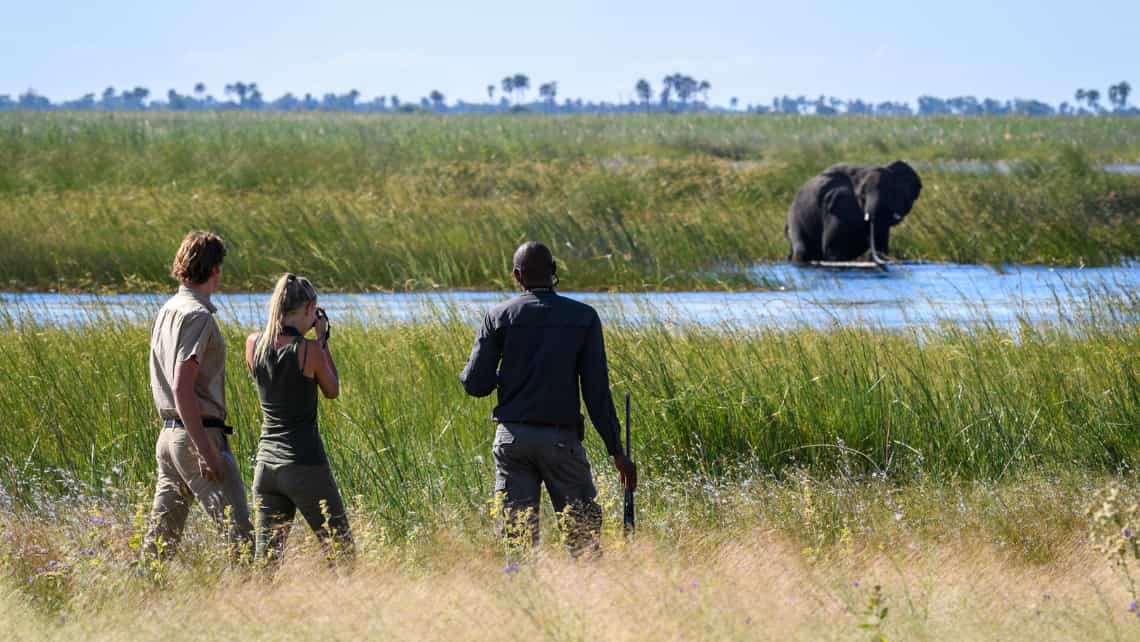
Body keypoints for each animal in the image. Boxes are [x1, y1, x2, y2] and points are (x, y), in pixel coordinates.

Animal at [788, 160, 921, 263]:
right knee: (803, 250)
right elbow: (833, 247)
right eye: (862, 196)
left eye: (891, 194)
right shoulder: (837, 208)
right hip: (795, 218)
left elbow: (881, 244)